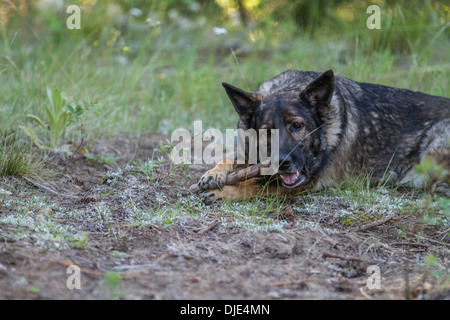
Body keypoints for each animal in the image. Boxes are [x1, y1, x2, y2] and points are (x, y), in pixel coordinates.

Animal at [195, 69, 450, 202]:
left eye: (297, 126)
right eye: (267, 132)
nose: (283, 162)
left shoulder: (303, 184)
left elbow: (255, 185)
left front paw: (226, 191)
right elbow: (232, 157)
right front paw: (214, 173)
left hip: (433, 152)